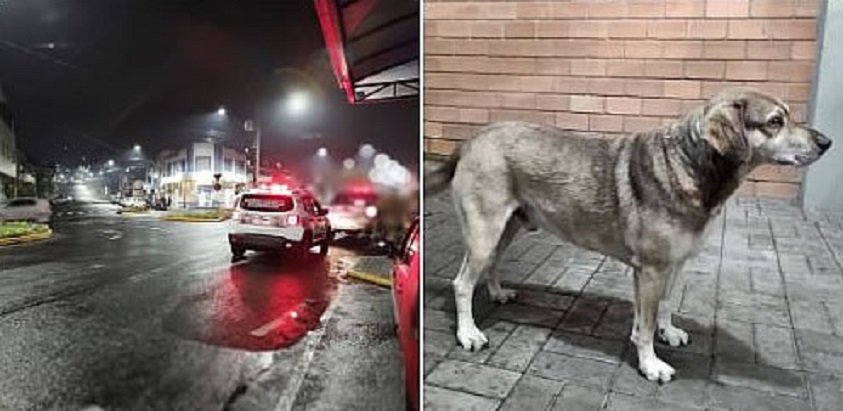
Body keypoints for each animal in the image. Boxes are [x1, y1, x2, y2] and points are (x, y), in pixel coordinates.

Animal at [426, 88, 836, 384]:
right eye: (775, 121)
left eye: (788, 115)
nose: (826, 143)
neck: (693, 167)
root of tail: (472, 140)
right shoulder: (651, 270)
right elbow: (646, 322)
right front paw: (651, 363)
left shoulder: (676, 265)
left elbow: (664, 307)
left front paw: (669, 333)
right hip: (485, 230)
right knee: (462, 283)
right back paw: (469, 333)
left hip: (508, 227)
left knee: (492, 264)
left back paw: (497, 293)